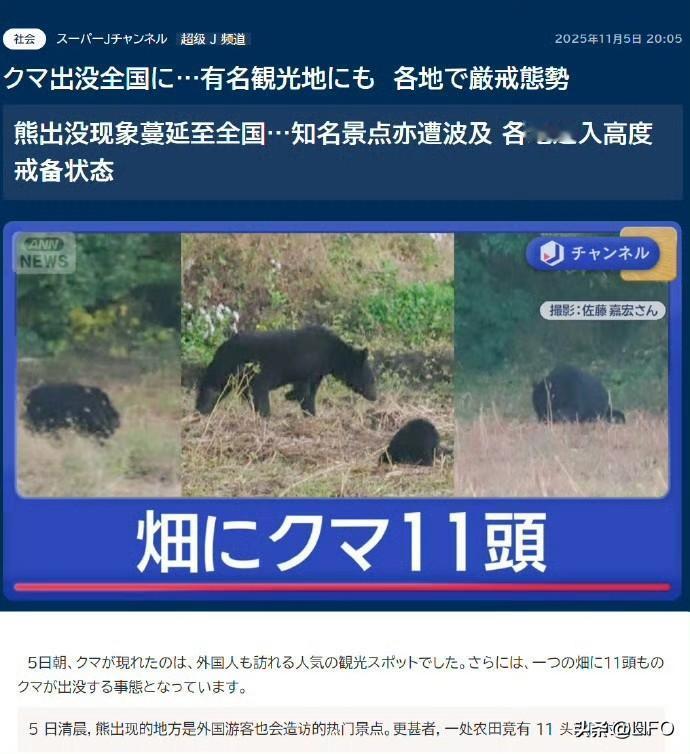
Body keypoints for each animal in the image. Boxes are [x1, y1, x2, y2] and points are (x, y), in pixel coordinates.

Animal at [196, 325, 377, 417]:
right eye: (371, 379)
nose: (375, 397)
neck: (331, 353)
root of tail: (223, 347)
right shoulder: (308, 364)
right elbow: (304, 389)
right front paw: (292, 397)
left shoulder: (316, 371)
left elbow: (309, 392)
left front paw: (309, 412)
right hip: (250, 371)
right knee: (258, 394)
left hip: (229, 373)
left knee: (214, 389)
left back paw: (202, 410)